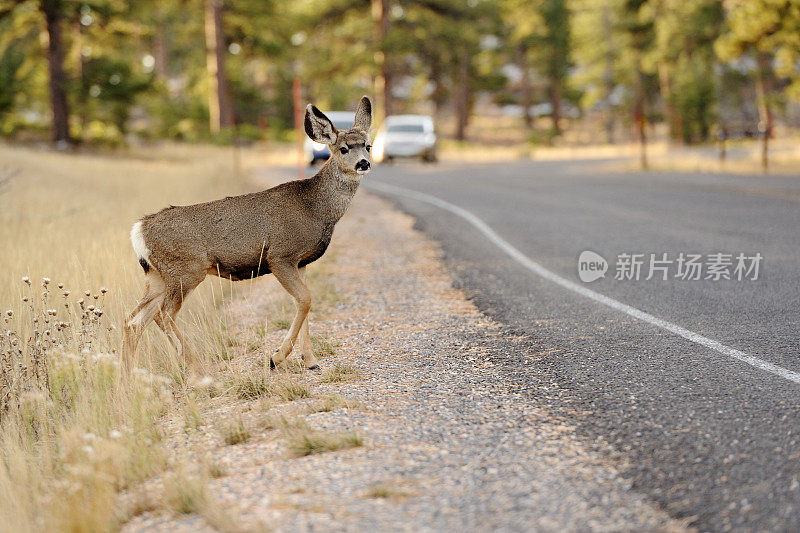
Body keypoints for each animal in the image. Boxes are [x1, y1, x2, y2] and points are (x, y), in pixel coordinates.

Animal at [123, 96, 374, 370]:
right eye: (343, 149)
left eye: (368, 146)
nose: (364, 163)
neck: (316, 208)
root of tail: (139, 229)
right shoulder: (280, 255)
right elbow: (305, 300)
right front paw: (277, 357)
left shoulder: (302, 262)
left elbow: (304, 302)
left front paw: (310, 360)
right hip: (185, 270)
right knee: (163, 314)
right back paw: (197, 367)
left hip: (157, 275)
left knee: (134, 320)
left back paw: (129, 375)